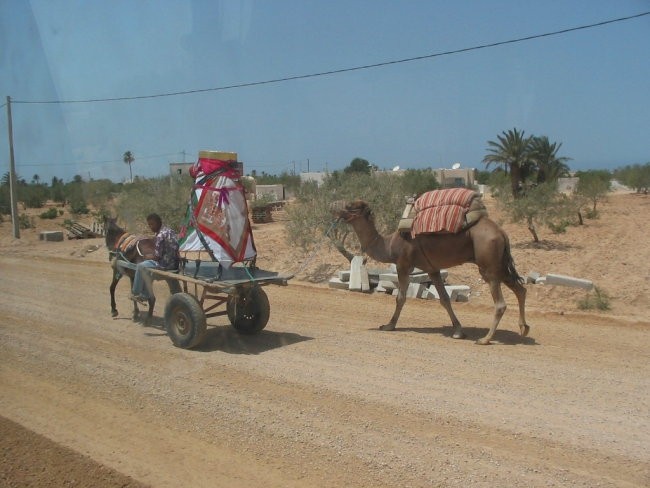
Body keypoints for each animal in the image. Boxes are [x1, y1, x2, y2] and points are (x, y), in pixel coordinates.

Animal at [332, 200, 528, 346]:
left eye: (350, 205)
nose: (333, 208)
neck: (388, 245)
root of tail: (501, 232)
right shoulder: (432, 269)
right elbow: (445, 299)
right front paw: (458, 331)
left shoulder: (403, 264)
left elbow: (400, 298)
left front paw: (389, 325)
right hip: (500, 264)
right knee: (521, 289)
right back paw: (523, 329)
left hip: (488, 263)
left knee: (500, 303)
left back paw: (485, 339)